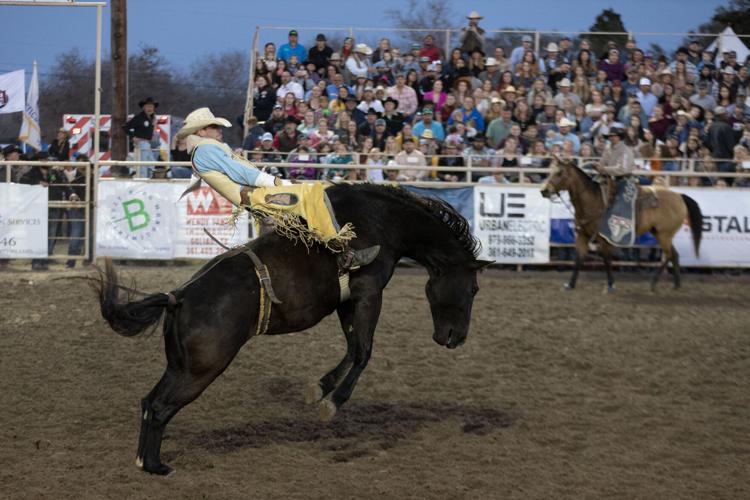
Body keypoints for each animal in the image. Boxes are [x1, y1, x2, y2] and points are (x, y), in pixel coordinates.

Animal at [95, 185, 494, 476]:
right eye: (474, 289)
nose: (455, 338)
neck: (383, 221)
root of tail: (178, 296)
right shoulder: (368, 293)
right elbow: (363, 351)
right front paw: (331, 403)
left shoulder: (346, 302)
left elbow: (352, 348)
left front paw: (319, 388)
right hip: (202, 368)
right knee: (161, 406)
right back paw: (156, 466)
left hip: (180, 365)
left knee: (150, 402)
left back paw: (145, 461)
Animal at [540, 160, 704, 292]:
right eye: (551, 171)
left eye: (559, 173)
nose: (544, 190)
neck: (593, 201)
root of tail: (679, 196)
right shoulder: (582, 235)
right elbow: (578, 259)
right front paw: (570, 285)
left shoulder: (603, 239)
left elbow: (606, 260)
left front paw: (611, 285)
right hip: (661, 234)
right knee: (674, 255)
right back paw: (676, 285)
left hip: (664, 235)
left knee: (669, 255)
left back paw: (653, 283)